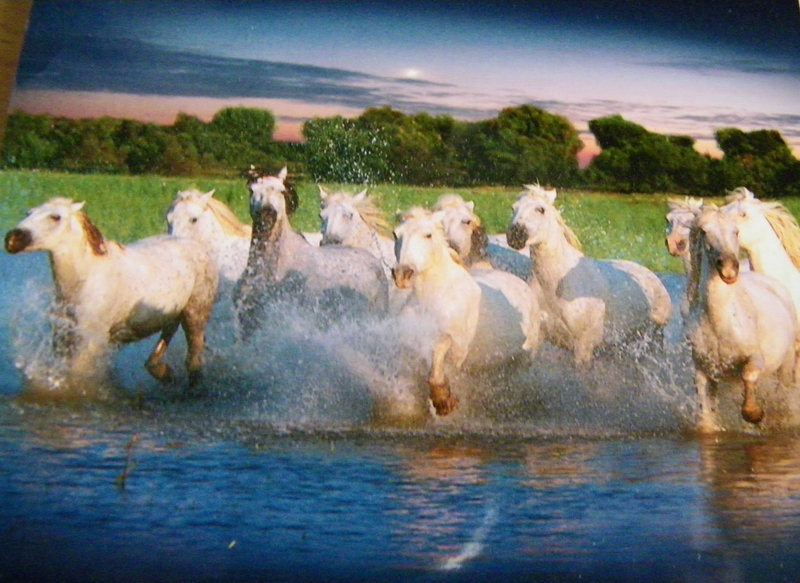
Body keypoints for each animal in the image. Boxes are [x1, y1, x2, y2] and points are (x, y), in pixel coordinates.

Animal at [3, 196, 219, 396]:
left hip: (195, 314)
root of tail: (196, 245)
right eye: (28, 213)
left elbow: (77, 375)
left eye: (55, 217)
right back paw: (165, 373)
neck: (85, 279)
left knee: (193, 356)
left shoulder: (89, 342)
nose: (13, 239)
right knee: (165, 340)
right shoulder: (63, 337)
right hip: (171, 313)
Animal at [392, 205, 540, 416]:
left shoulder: (457, 348)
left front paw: (444, 401)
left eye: (428, 235)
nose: (402, 274)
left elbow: (439, 360)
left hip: (521, 362)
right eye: (395, 234)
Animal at [506, 186, 668, 370]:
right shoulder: (538, 338)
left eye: (541, 209)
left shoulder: (583, 346)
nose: (515, 236)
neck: (556, 284)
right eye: (513, 208)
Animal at [684, 208, 796, 432]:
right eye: (704, 231)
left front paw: (755, 413)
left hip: (786, 363)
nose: (729, 270)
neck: (721, 324)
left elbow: (748, 375)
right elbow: (706, 418)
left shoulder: (756, 357)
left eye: (735, 231)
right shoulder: (703, 371)